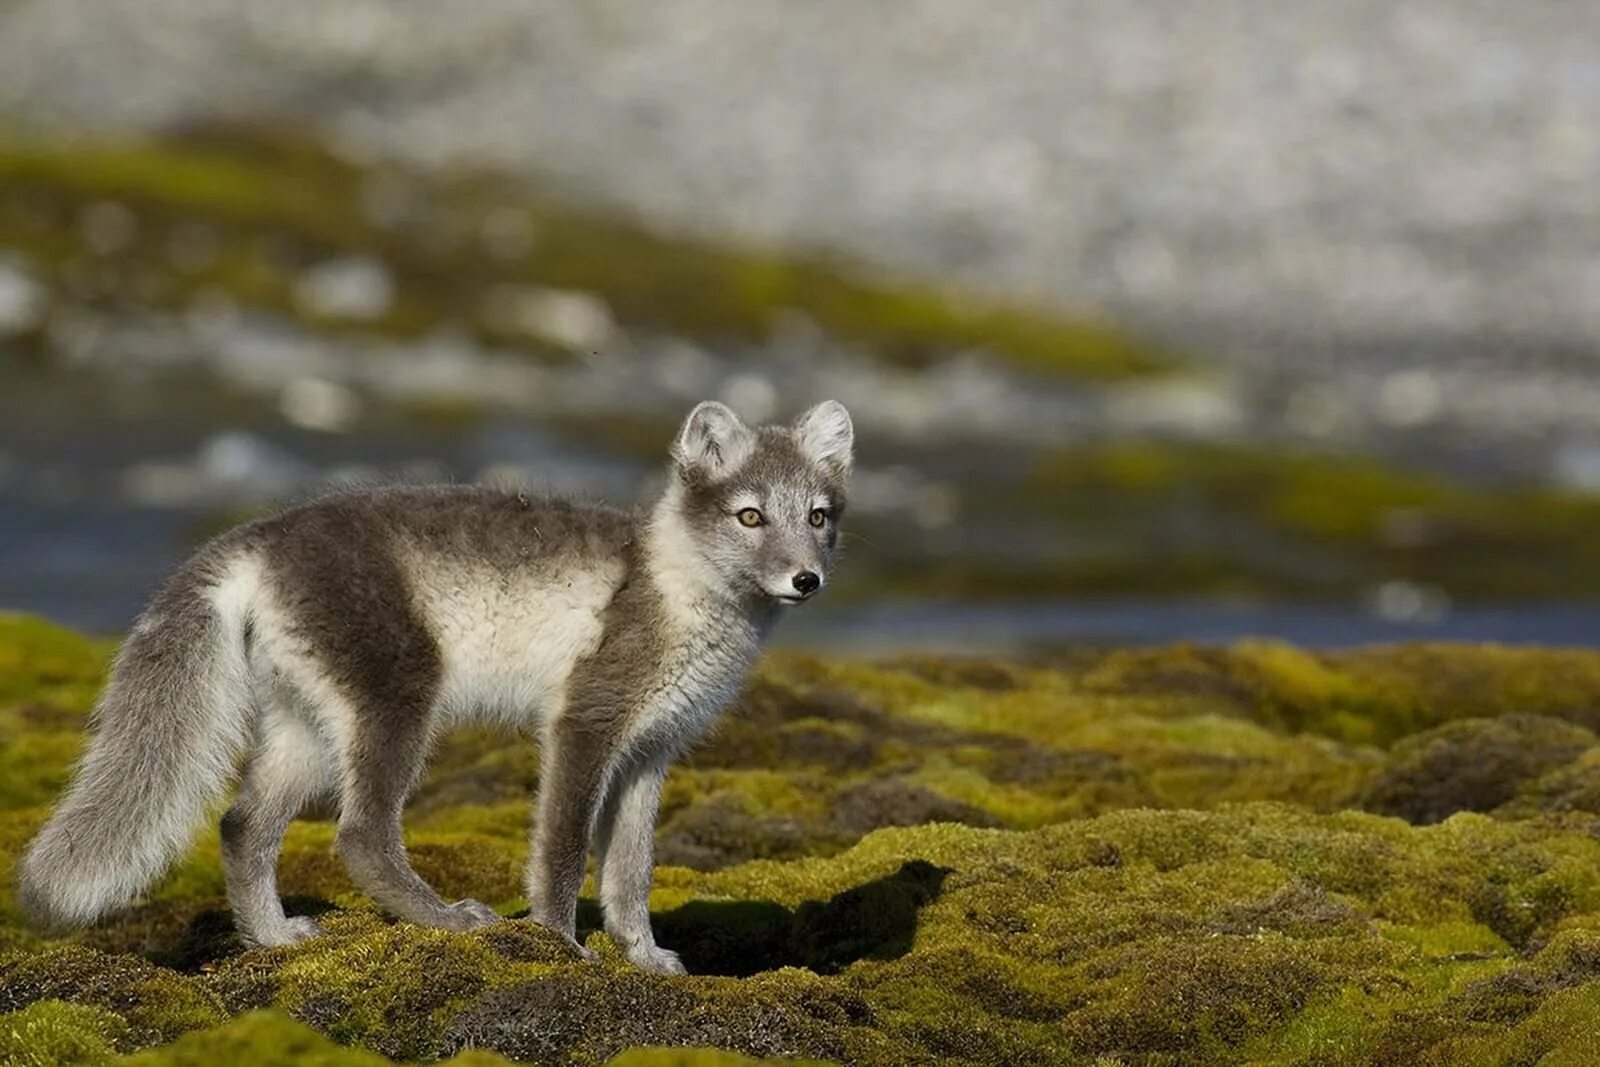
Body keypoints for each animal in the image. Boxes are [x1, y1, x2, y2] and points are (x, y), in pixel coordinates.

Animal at [18, 399, 857, 979]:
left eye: (818, 516)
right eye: (749, 515)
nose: (806, 579)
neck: (682, 589)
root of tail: (257, 536)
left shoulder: (651, 751)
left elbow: (631, 870)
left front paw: (643, 955)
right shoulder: (585, 723)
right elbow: (562, 852)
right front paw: (561, 947)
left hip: (309, 725)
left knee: (241, 822)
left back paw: (274, 937)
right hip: (398, 699)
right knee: (358, 835)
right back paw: (451, 922)